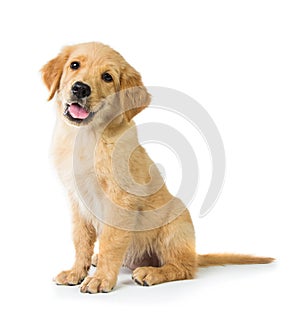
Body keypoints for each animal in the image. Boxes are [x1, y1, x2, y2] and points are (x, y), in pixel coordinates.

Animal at [40, 42, 274, 294]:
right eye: (74, 65)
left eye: (107, 77)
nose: (80, 88)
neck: (87, 136)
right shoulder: (77, 199)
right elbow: (80, 239)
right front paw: (76, 272)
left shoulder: (120, 199)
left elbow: (111, 242)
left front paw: (101, 278)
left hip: (175, 224)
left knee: (184, 267)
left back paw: (150, 273)